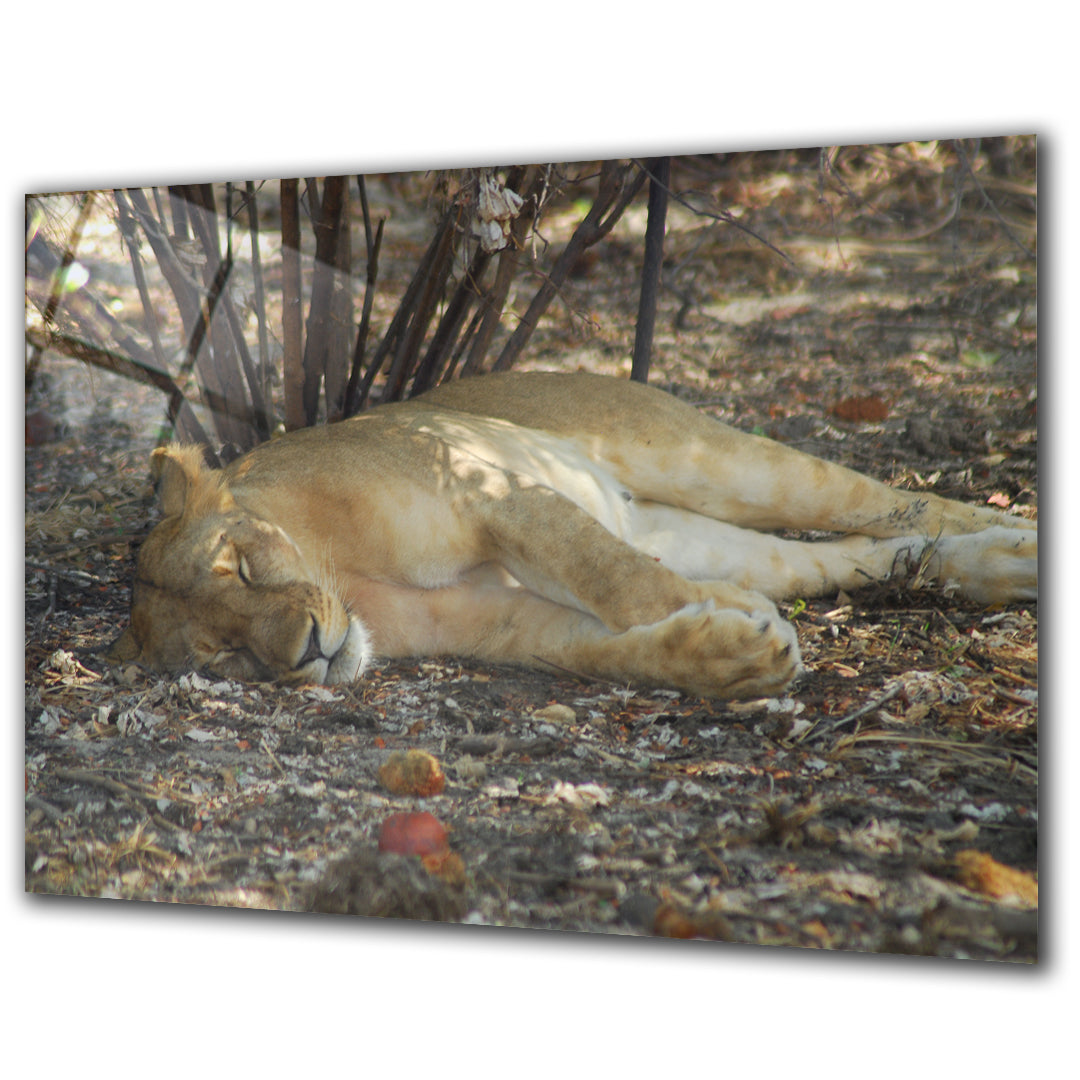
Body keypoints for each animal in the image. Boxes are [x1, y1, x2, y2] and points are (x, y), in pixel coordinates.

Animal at [107, 371, 1036, 699]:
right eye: (227, 655)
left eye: (239, 566)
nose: (304, 651)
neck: (342, 574)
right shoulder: (497, 619)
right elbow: (608, 646)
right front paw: (733, 653)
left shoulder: (493, 493)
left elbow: (612, 576)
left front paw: (734, 620)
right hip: (687, 526)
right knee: (847, 557)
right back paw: (994, 571)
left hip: (709, 459)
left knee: (901, 503)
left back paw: (1014, 536)